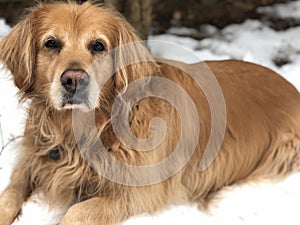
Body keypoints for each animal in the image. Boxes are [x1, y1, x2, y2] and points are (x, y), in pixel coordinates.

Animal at [0, 0, 300, 224]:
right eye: (51, 43)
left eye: (98, 46)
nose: (73, 80)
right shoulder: (32, 158)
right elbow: (9, 194)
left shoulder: (141, 192)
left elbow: (77, 211)